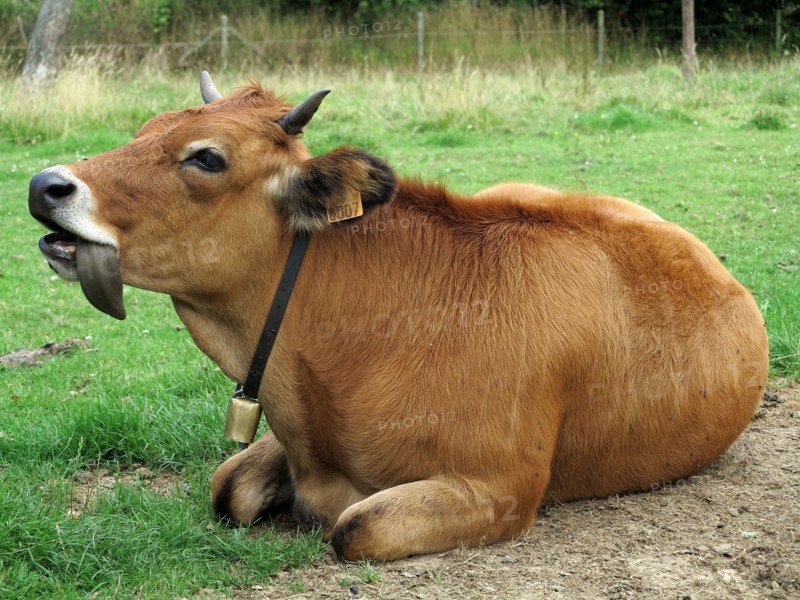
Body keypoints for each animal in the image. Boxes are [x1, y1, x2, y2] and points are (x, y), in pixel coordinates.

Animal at [28, 72, 769, 561]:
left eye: (206, 156)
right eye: (143, 129)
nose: (43, 185)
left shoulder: (499, 490)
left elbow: (353, 528)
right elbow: (226, 484)